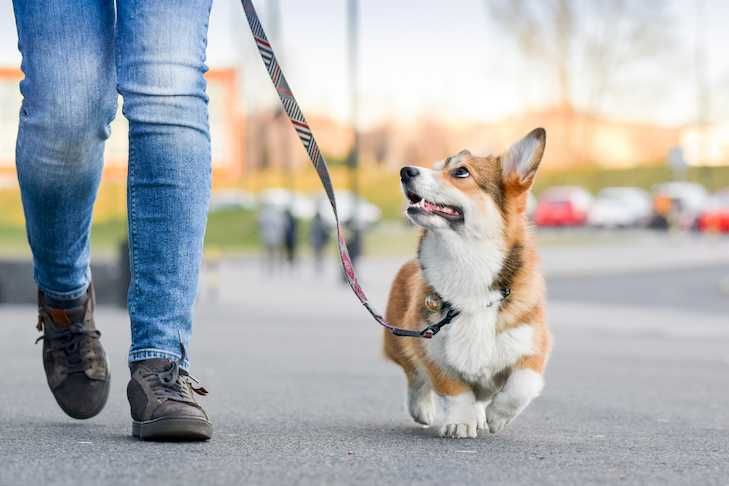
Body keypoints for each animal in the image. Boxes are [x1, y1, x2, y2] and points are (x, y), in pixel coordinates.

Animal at [384, 127, 548, 438]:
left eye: (461, 172)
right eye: (436, 167)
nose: (405, 171)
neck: (467, 263)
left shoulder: (533, 347)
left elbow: (521, 386)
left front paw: (497, 416)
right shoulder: (431, 348)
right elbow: (456, 391)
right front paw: (460, 422)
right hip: (398, 340)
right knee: (414, 376)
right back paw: (422, 408)